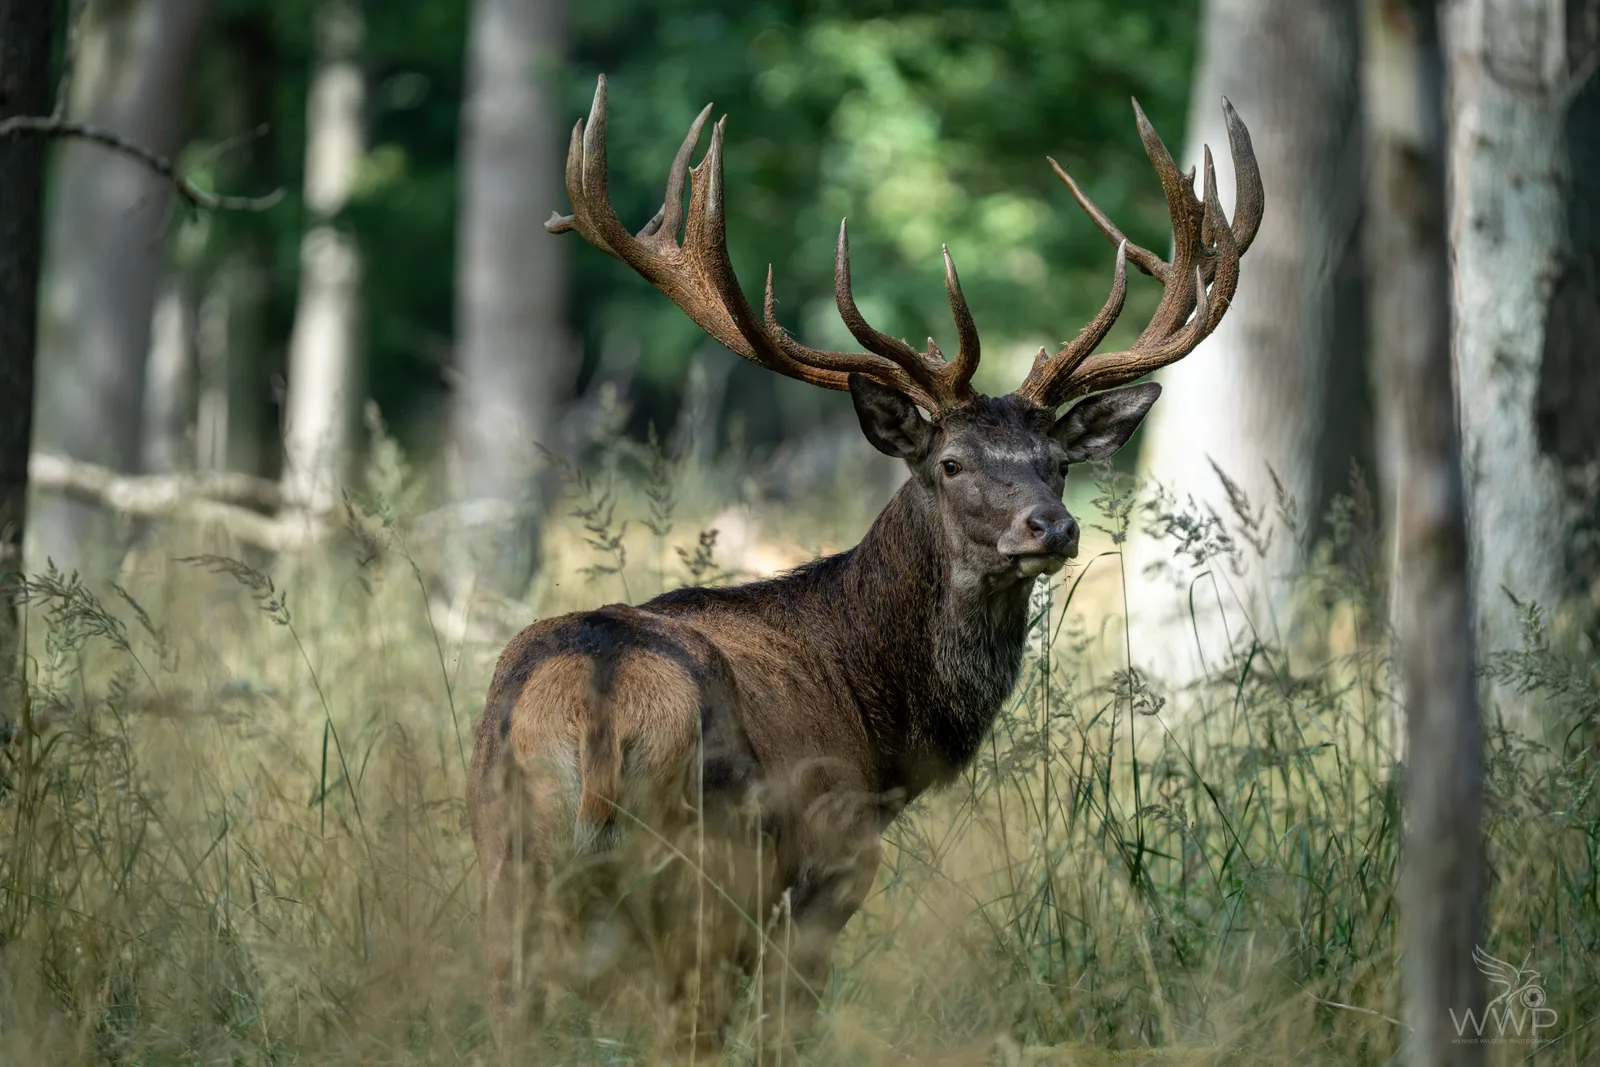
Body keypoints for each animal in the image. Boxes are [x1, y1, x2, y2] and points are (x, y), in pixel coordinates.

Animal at [468, 75, 1261, 1057]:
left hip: (503, 859)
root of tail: (598, 701)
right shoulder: (833, 861)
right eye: (951, 462)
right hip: (704, 873)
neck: (882, 717)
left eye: (1059, 461)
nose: (1053, 527)